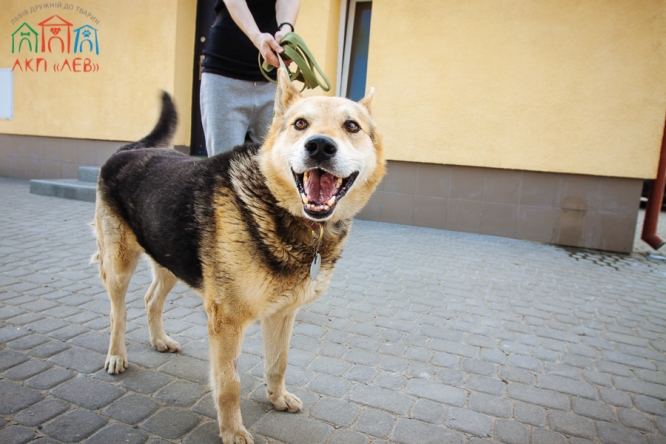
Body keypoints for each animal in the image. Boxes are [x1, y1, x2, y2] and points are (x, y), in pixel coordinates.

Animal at [92, 68, 384, 440]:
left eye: (351, 126)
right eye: (300, 124)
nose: (319, 146)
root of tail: (130, 149)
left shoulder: (283, 313)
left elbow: (278, 363)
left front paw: (277, 398)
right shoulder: (227, 321)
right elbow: (229, 383)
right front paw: (232, 431)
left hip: (169, 257)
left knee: (150, 299)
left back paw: (159, 340)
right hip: (119, 265)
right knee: (118, 313)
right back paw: (116, 356)